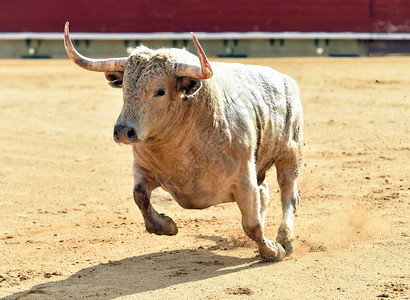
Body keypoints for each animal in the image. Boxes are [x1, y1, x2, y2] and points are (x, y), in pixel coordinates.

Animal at [62, 21, 302, 260]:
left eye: (160, 91)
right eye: (125, 88)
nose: (123, 131)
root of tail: (286, 80)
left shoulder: (244, 178)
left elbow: (252, 224)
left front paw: (273, 250)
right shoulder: (142, 166)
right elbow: (139, 195)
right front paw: (166, 225)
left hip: (291, 152)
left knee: (288, 194)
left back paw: (286, 240)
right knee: (265, 193)